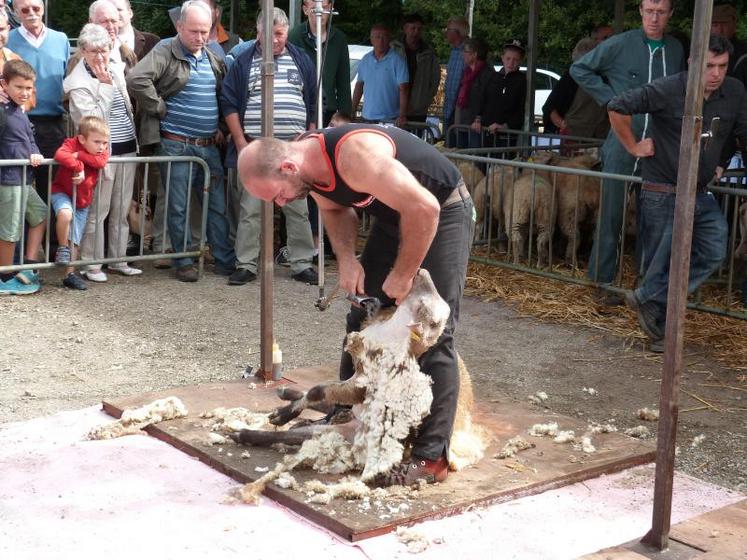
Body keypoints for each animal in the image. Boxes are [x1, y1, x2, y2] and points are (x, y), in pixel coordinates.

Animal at [234, 270, 490, 500]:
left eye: (430, 315)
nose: (421, 272)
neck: (391, 332)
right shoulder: (358, 372)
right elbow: (320, 391)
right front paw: (286, 412)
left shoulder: (362, 385)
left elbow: (319, 391)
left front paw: (278, 417)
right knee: (321, 411)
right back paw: (284, 401)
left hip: (351, 429)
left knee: (301, 428)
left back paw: (252, 429)